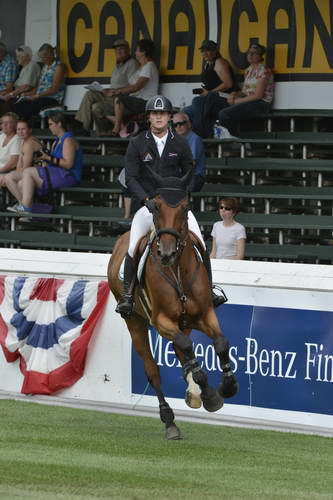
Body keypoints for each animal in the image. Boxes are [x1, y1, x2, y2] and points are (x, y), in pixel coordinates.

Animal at [107, 174, 237, 440]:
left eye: (185, 207)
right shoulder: (162, 321)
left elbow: (220, 342)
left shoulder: (205, 315)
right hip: (135, 322)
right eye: (156, 206)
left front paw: (226, 387)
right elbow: (186, 351)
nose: (166, 254)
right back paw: (170, 420)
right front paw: (207, 391)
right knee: (153, 368)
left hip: (183, 323)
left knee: (182, 349)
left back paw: (194, 392)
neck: (177, 270)